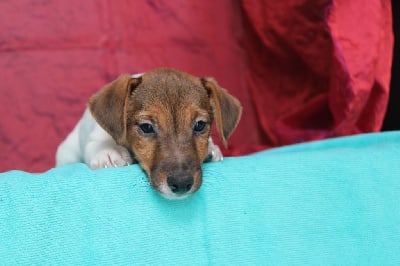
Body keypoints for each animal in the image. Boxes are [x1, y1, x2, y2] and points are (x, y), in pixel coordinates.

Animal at [55, 67, 241, 198]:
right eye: (146, 127)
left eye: (200, 125)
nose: (181, 184)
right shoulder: (96, 135)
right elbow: (98, 143)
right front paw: (109, 153)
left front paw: (211, 148)